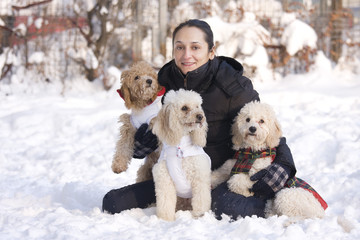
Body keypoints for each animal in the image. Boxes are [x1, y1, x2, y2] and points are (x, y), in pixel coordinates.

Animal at [151, 89, 212, 221]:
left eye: (197, 106)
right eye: (184, 108)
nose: (201, 116)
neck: (180, 147)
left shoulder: (200, 178)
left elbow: (201, 201)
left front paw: (200, 216)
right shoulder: (164, 180)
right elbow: (165, 203)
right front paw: (165, 220)